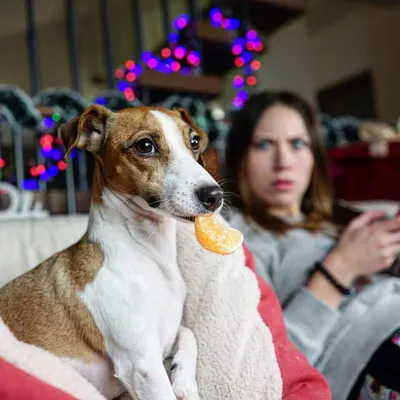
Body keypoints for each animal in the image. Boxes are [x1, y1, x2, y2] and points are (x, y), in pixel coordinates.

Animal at [0, 105, 225, 400]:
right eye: (145, 146)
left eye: (195, 142)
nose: (215, 196)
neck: (147, 253)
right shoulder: (141, 365)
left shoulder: (167, 335)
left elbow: (188, 333)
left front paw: (184, 382)